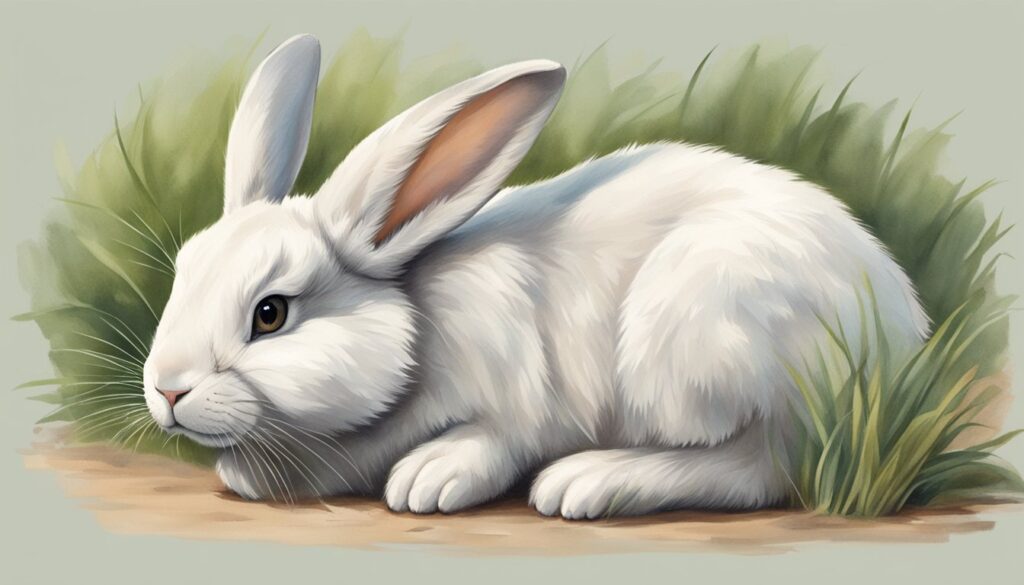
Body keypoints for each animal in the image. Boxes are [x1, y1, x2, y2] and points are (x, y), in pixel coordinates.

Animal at [142, 34, 930, 519]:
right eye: (182, 273)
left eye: (270, 313)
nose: (168, 390)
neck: (416, 329)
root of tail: (901, 340)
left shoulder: (523, 396)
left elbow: (498, 439)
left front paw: (430, 478)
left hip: (697, 335)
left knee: (760, 467)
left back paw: (588, 481)